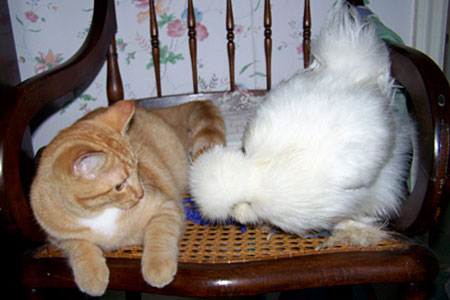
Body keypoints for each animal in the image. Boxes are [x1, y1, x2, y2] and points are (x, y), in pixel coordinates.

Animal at [29, 100, 225, 296]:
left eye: (137, 168)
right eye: (119, 185)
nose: (141, 193)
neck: (98, 213)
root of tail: (156, 111)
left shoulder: (166, 206)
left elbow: (159, 235)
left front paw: (157, 266)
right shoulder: (59, 238)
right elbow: (80, 247)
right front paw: (91, 276)